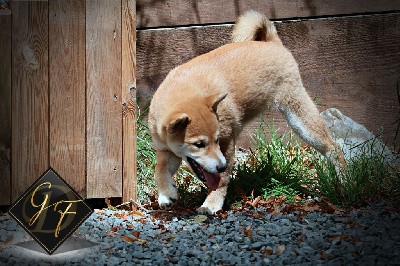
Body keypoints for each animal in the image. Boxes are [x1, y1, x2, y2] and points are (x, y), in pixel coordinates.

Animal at [148, 10, 346, 215]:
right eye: (199, 144)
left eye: (216, 139)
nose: (221, 166)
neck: (185, 88)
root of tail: (272, 43)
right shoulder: (166, 150)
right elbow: (159, 172)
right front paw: (166, 194)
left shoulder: (227, 142)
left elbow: (221, 181)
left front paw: (212, 203)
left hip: (300, 118)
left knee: (333, 147)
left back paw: (344, 183)